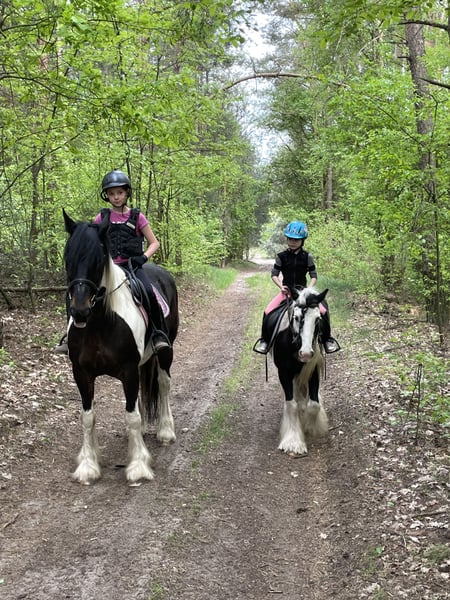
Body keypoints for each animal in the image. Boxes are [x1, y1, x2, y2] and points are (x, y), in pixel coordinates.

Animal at [62, 209, 179, 485]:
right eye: (67, 257)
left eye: (97, 259)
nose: (80, 311)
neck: (100, 322)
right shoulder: (81, 373)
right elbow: (88, 417)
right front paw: (88, 466)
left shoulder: (128, 369)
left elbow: (131, 416)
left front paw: (138, 466)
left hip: (165, 352)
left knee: (163, 385)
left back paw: (165, 431)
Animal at [264, 286, 329, 456]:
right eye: (297, 318)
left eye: (318, 319)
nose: (305, 353)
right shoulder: (283, 372)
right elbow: (291, 405)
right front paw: (293, 441)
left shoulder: (313, 369)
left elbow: (314, 404)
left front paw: (310, 427)